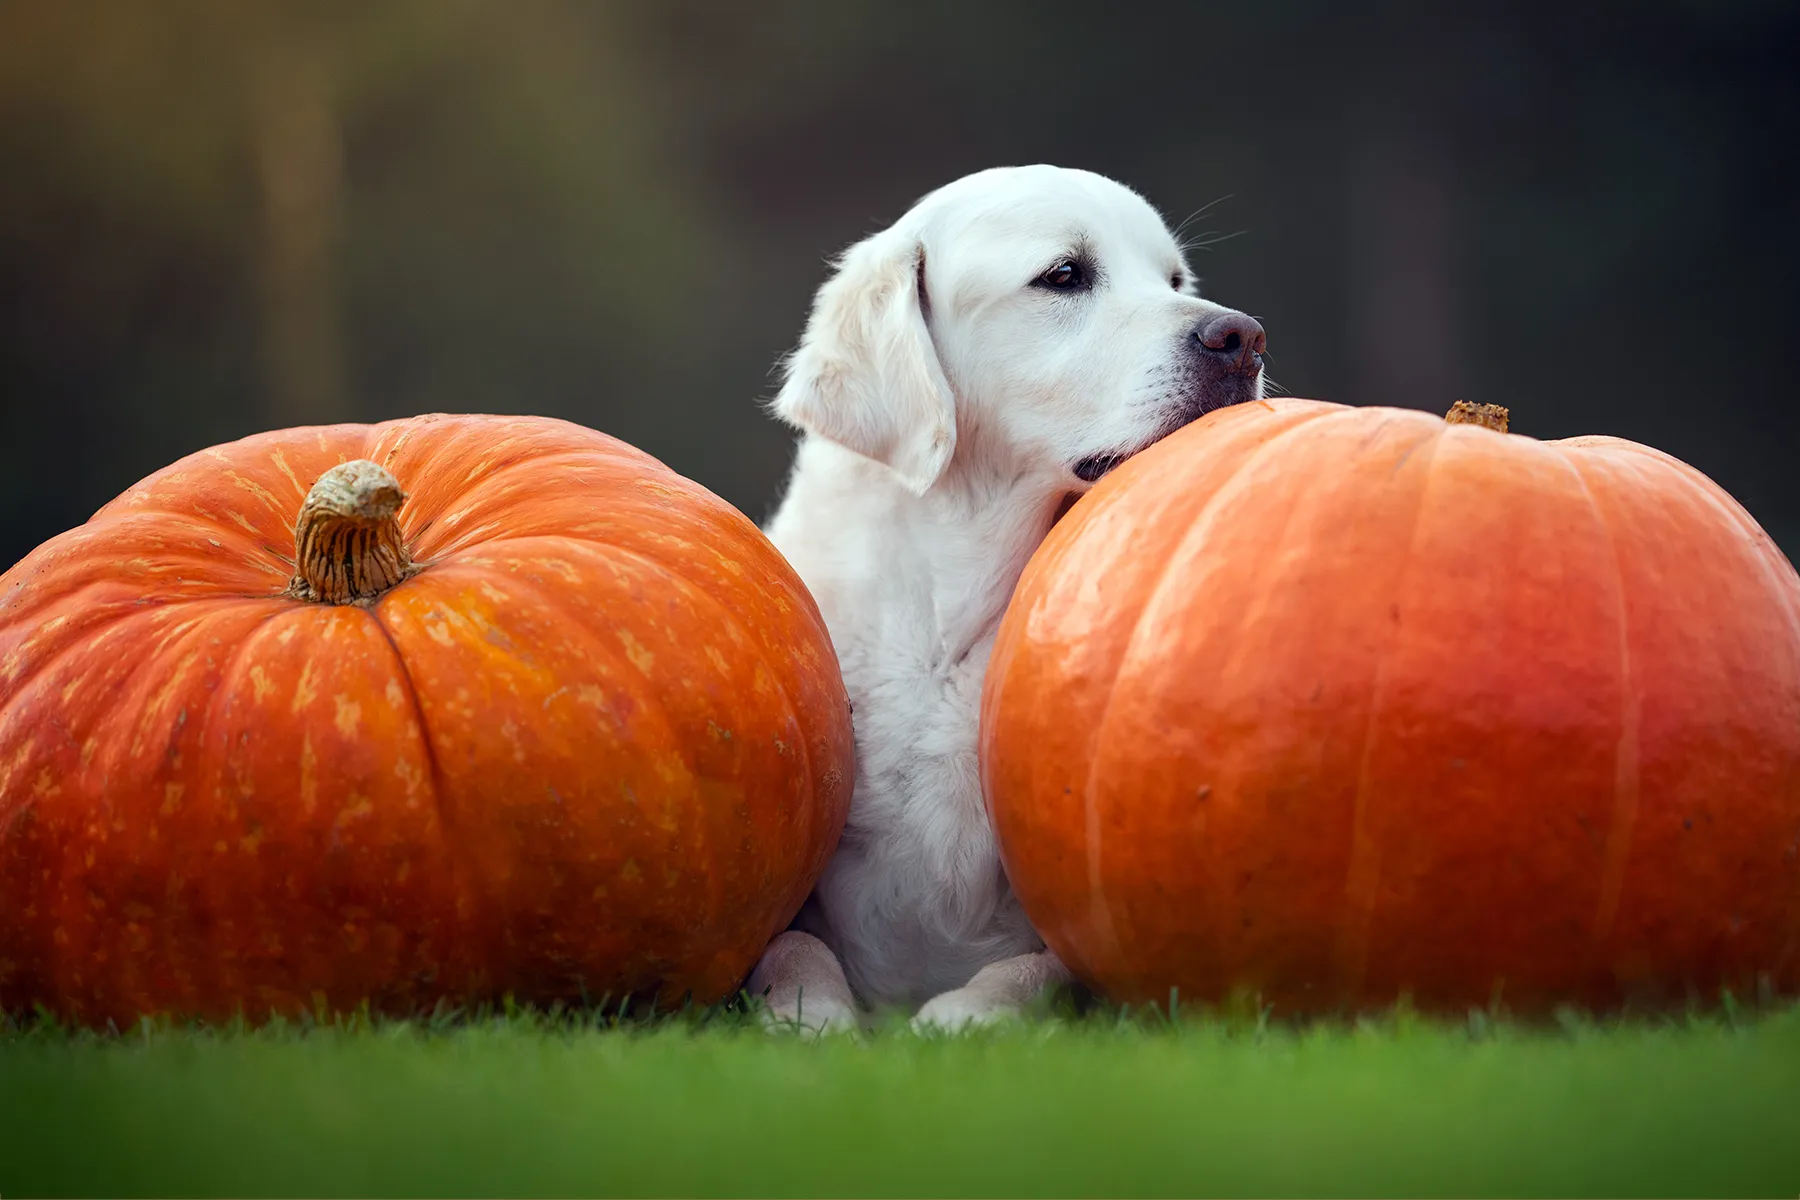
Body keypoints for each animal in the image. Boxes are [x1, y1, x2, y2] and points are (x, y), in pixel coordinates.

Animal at [745, 166, 1267, 1036]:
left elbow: (1035, 969)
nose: (1245, 338)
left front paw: (960, 1016)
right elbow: (793, 945)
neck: (945, 630)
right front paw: (810, 1015)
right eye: (1064, 275)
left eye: (1174, 281)